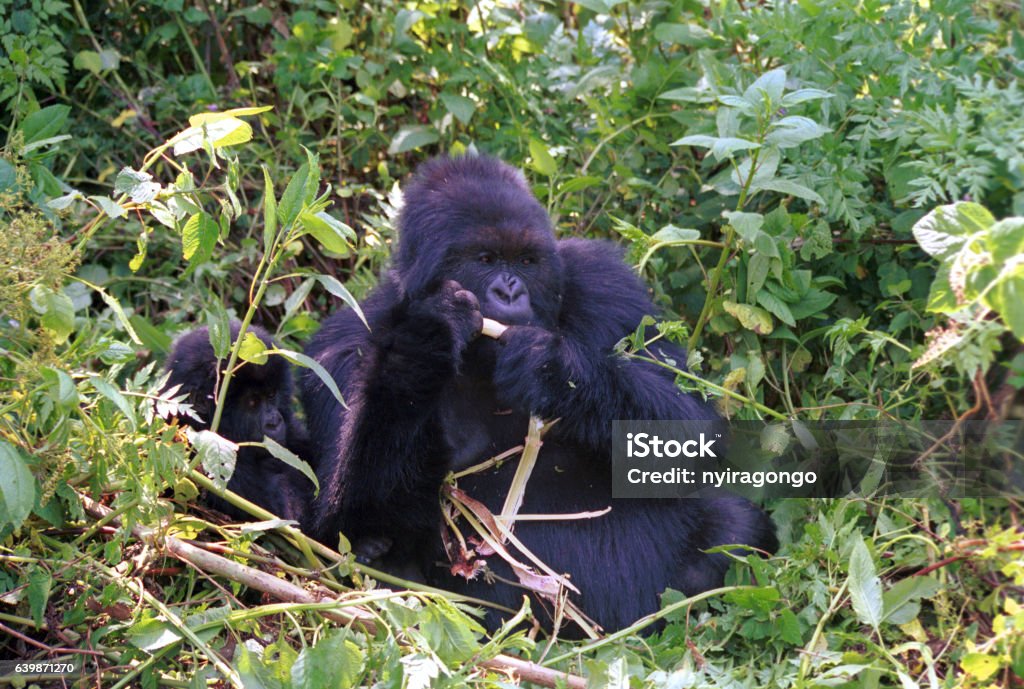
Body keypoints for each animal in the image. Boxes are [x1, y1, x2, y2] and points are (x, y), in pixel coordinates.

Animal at [299, 153, 778, 630]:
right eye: (486, 259)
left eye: (526, 261)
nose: (509, 290)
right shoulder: (339, 350)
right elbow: (346, 520)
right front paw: (430, 334)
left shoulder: (606, 283)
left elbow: (693, 434)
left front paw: (550, 369)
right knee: (373, 551)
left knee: (733, 524)